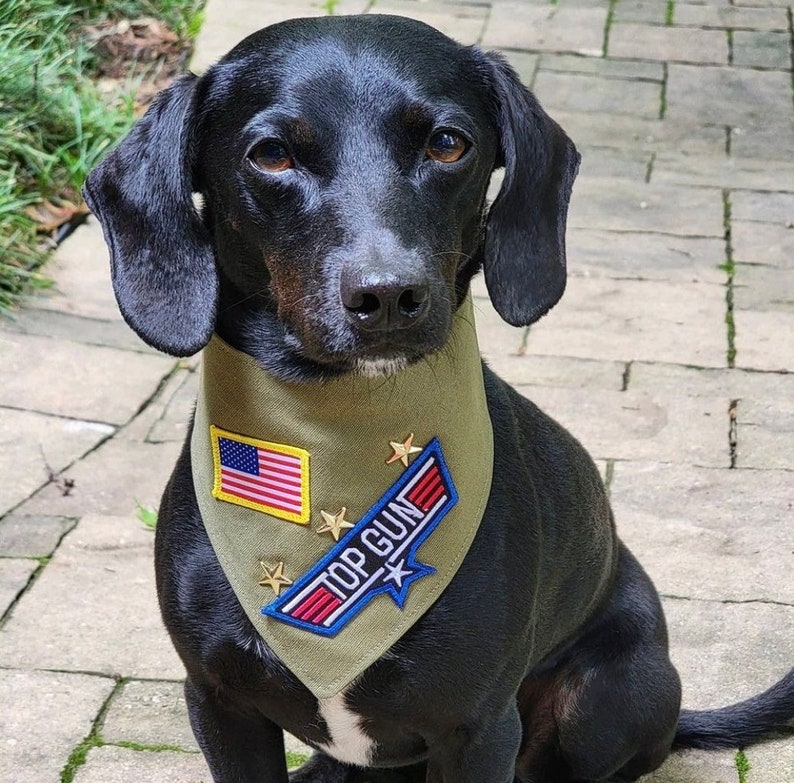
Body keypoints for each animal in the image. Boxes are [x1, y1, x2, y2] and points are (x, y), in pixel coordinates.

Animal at [82, 13, 792, 783]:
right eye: (270, 155)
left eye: (448, 143)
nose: (389, 295)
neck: (334, 436)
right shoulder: (219, 702)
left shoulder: (477, 726)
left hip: (609, 694)